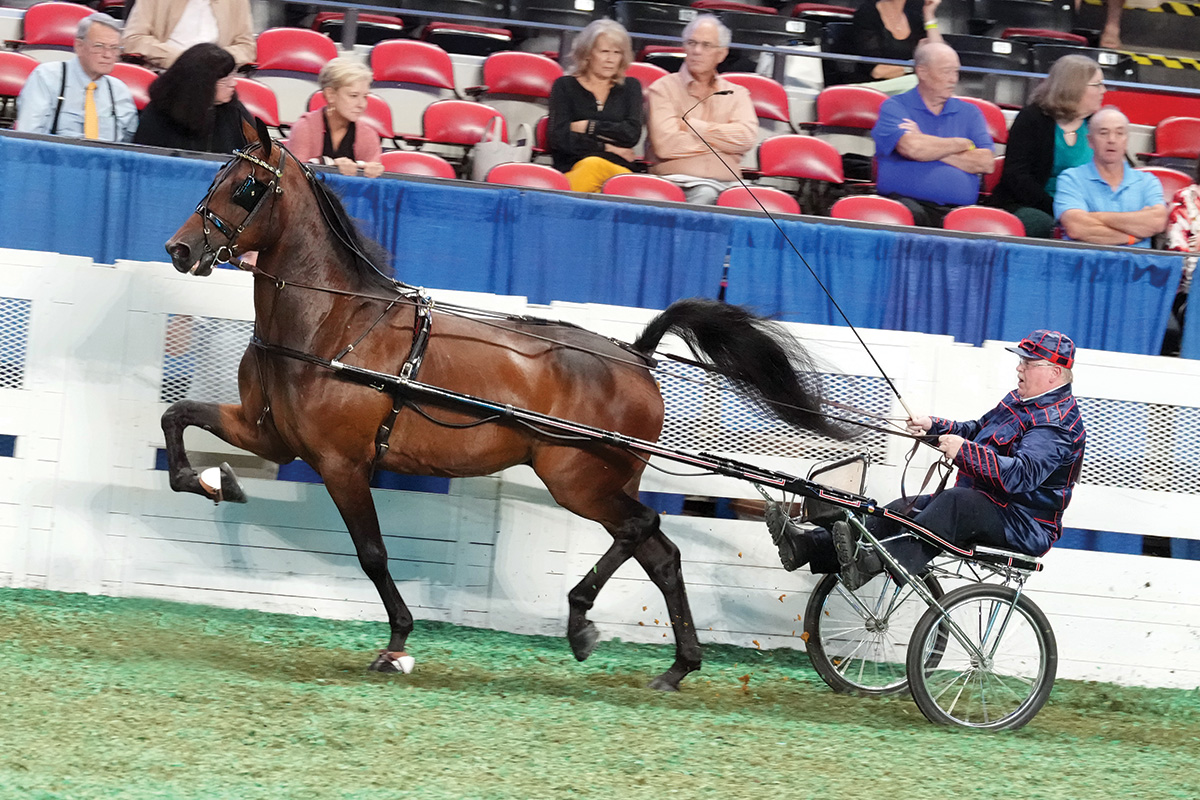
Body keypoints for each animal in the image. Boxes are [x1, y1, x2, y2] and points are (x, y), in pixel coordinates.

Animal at [164, 122, 849, 690]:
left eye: (247, 186)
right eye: (217, 176)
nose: (179, 250)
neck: (332, 326)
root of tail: (635, 354)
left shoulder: (341, 463)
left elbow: (374, 555)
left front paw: (397, 644)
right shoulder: (268, 433)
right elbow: (177, 421)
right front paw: (213, 480)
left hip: (576, 478)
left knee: (644, 530)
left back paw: (584, 623)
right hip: (598, 480)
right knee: (658, 551)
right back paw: (675, 665)